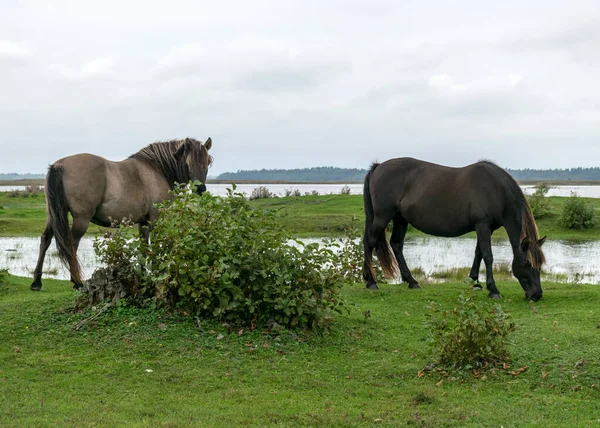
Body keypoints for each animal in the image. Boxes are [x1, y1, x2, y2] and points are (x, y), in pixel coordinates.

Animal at [31, 137, 213, 290]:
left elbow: (143, 247)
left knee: (45, 239)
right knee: (71, 244)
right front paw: (156, 273)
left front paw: (144, 274)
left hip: (54, 214)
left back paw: (37, 282)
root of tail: (60, 165)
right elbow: (154, 246)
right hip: (81, 219)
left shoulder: (143, 221)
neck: (158, 169)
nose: (200, 189)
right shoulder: (155, 219)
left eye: (207, 162)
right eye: (188, 163)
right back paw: (77, 282)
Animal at [364, 157, 548, 300]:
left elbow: (478, 253)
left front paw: (475, 282)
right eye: (527, 263)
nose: (536, 295)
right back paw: (371, 282)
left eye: (540, 264)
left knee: (396, 245)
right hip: (382, 217)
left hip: (400, 219)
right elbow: (488, 256)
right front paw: (493, 290)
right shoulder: (483, 225)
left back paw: (412, 282)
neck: (496, 190)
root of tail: (378, 166)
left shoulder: (486, 228)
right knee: (370, 242)